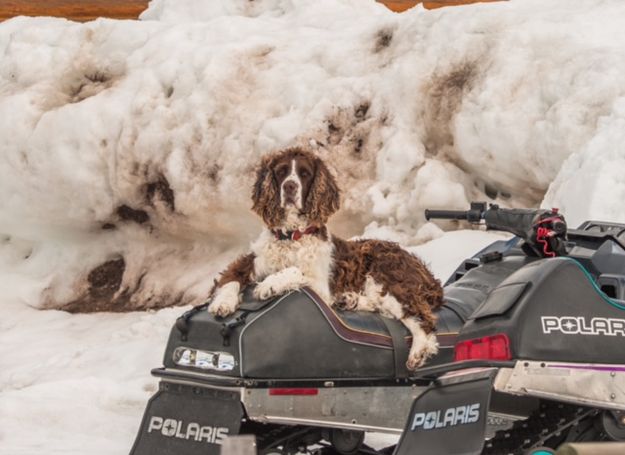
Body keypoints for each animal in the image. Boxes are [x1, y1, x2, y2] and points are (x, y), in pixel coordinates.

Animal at [210, 149, 444, 370]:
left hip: (387, 278)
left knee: (422, 317)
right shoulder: (251, 261)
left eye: (304, 174)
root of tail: (427, 273)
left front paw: (268, 285)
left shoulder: (320, 285)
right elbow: (230, 278)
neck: (291, 235)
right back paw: (350, 300)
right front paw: (222, 303)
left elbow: (294, 270)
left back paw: (418, 351)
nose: (290, 187)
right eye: (281, 172)